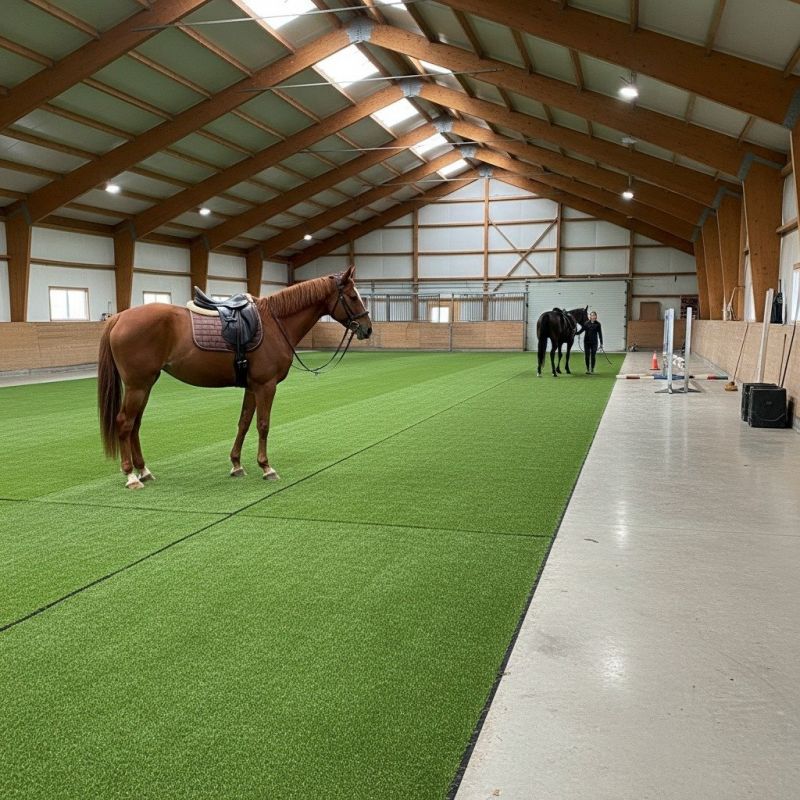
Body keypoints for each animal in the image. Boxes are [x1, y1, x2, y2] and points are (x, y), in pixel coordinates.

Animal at [97, 266, 372, 489]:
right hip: (137, 385)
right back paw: (131, 476)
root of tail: (119, 317)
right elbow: (263, 425)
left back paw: (143, 470)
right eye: (353, 297)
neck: (275, 324)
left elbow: (244, 423)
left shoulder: (252, 387)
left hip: (145, 384)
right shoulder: (266, 386)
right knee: (124, 423)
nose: (368, 329)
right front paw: (266, 467)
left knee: (135, 424)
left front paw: (237, 464)